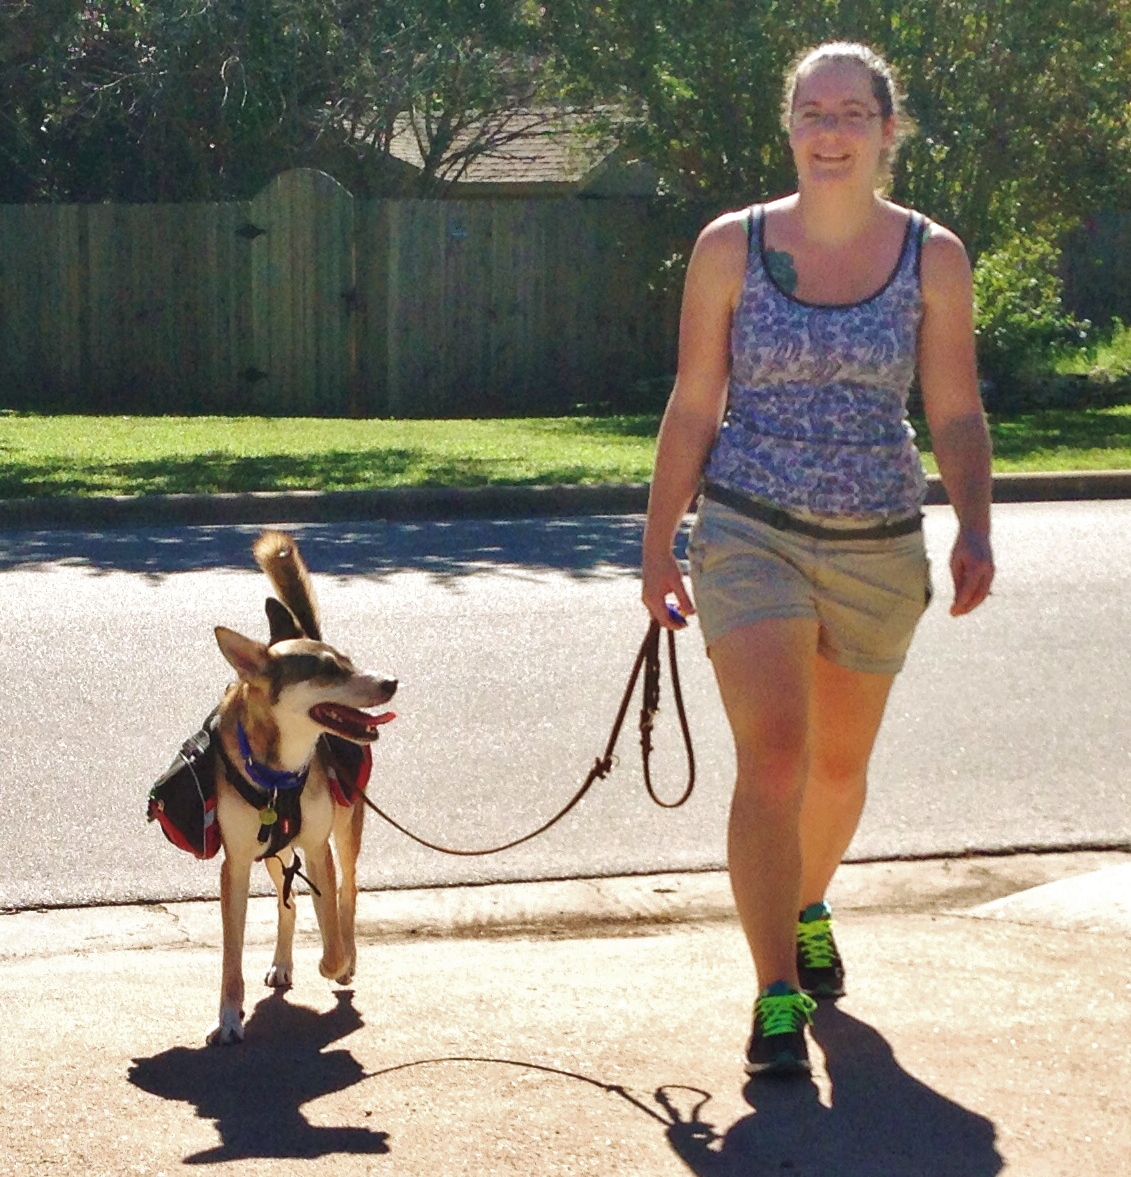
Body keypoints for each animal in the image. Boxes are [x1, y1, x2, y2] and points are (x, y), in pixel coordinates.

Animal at [205, 529, 397, 1045]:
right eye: (328, 671)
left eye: (349, 660)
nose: (390, 681)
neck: (278, 769)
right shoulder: (236, 863)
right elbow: (231, 954)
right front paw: (228, 1017)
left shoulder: (317, 847)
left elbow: (330, 928)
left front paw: (337, 964)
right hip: (273, 852)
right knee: (287, 904)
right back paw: (283, 961)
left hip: (345, 833)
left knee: (348, 893)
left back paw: (346, 957)